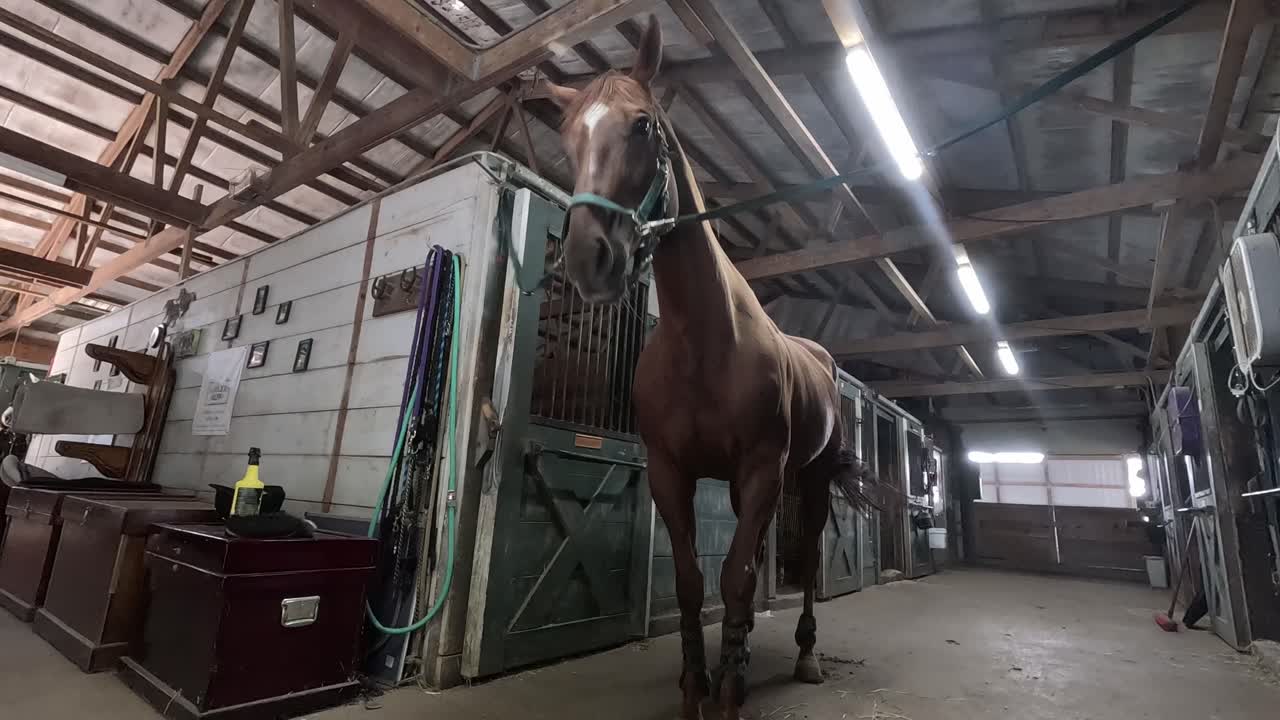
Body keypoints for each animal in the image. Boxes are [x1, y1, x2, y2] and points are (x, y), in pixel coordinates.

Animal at [544, 15, 882, 720]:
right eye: (567, 137)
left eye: (642, 125)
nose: (589, 258)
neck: (702, 343)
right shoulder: (672, 473)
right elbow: (695, 581)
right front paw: (699, 683)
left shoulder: (760, 470)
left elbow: (738, 577)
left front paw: (727, 689)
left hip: (807, 482)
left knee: (808, 562)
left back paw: (805, 656)